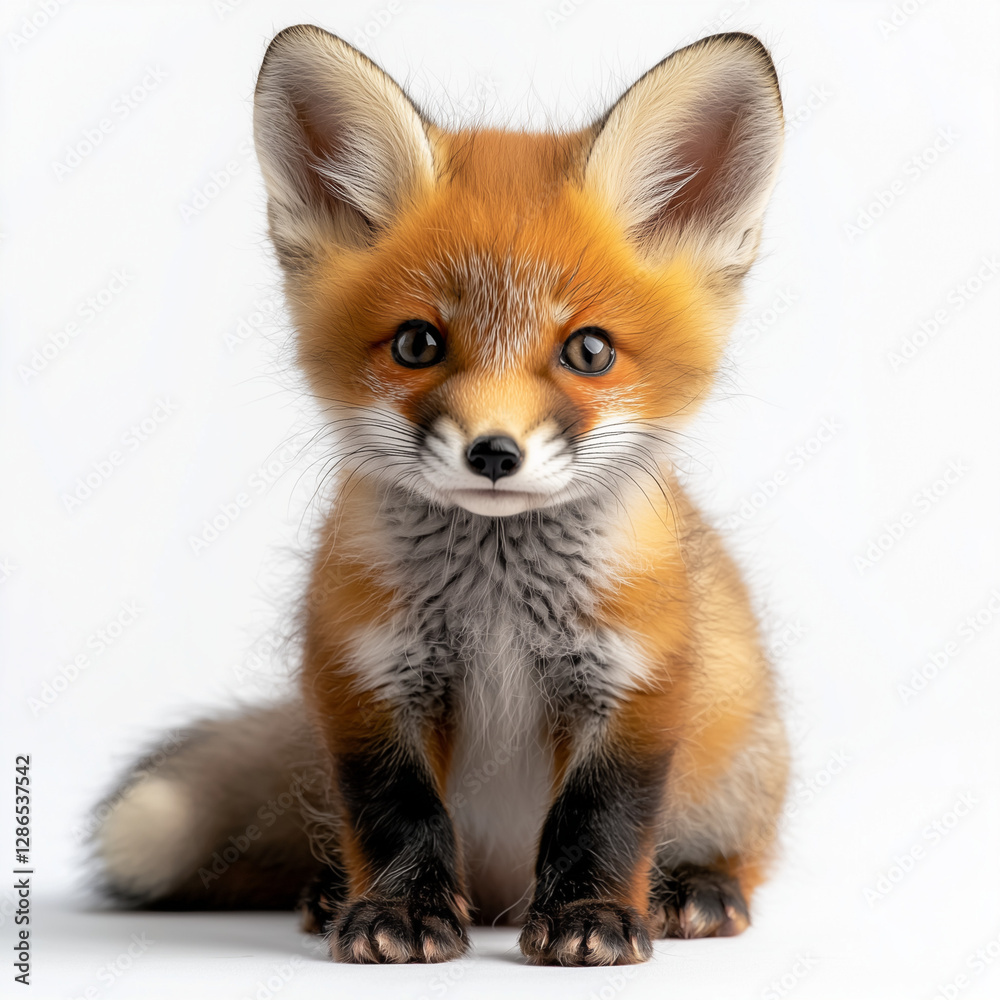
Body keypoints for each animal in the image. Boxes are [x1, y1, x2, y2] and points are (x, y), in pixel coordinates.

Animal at [92, 25, 789, 967]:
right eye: (418, 343)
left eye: (589, 351)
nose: (494, 452)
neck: (497, 612)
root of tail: (498, 892)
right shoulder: (367, 677)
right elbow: (397, 816)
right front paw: (398, 913)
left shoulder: (638, 678)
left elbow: (601, 819)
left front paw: (591, 916)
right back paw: (331, 891)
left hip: (742, 763)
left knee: (735, 852)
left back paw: (697, 888)